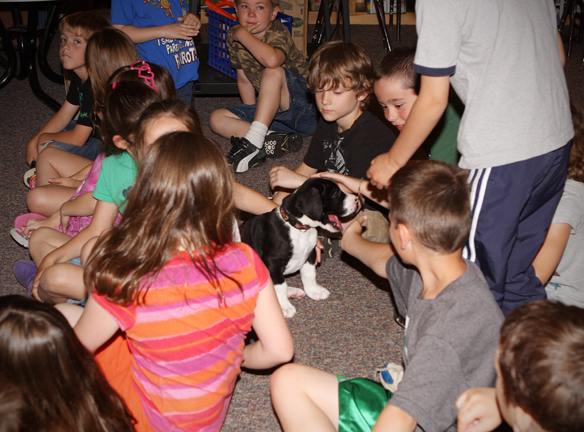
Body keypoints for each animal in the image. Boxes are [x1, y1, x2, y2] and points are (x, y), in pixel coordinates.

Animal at [240, 178, 358, 318]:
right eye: (335, 194)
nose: (357, 200)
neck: (299, 228)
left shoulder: (310, 253)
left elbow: (309, 275)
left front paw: (313, 291)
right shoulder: (273, 263)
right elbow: (280, 286)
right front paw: (284, 307)